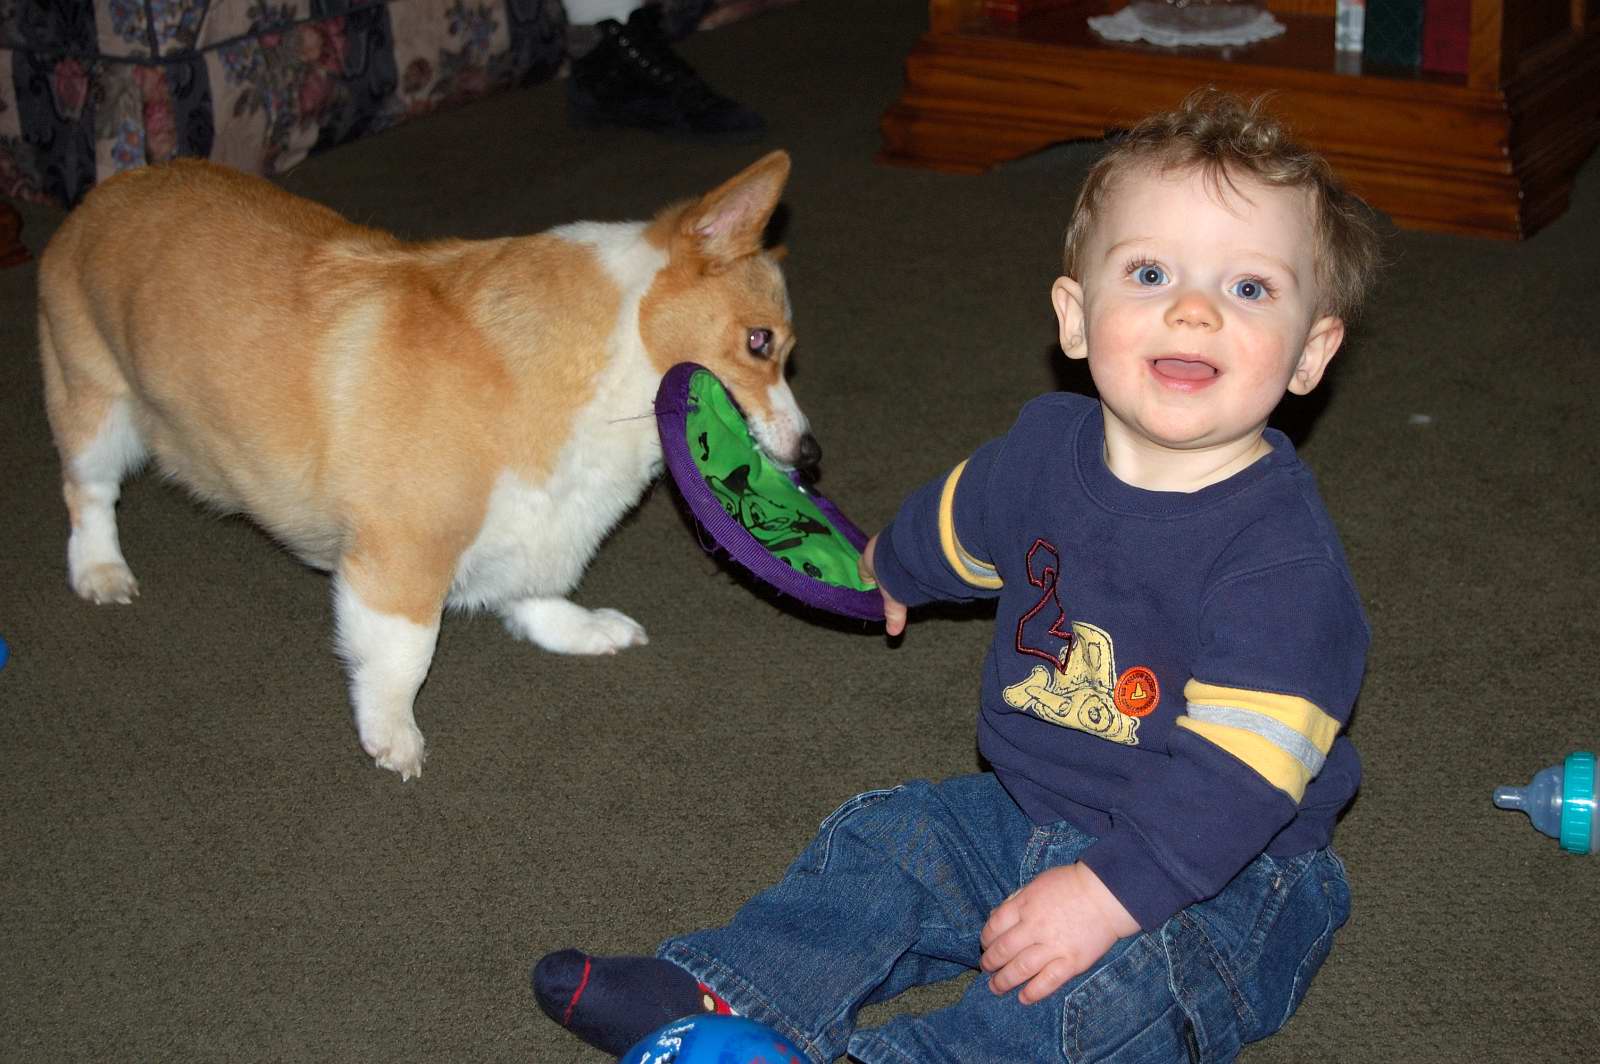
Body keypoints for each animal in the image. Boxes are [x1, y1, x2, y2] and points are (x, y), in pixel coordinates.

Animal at [37, 150, 815, 780]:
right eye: (759, 342)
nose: (813, 456)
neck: (612, 358)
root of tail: (109, 188)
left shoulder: (537, 521)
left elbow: (538, 595)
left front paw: (587, 630)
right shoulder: (400, 558)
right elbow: (404, 656)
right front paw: (393, 737)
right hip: (95, 406)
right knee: (87, 493)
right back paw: (100, 572)